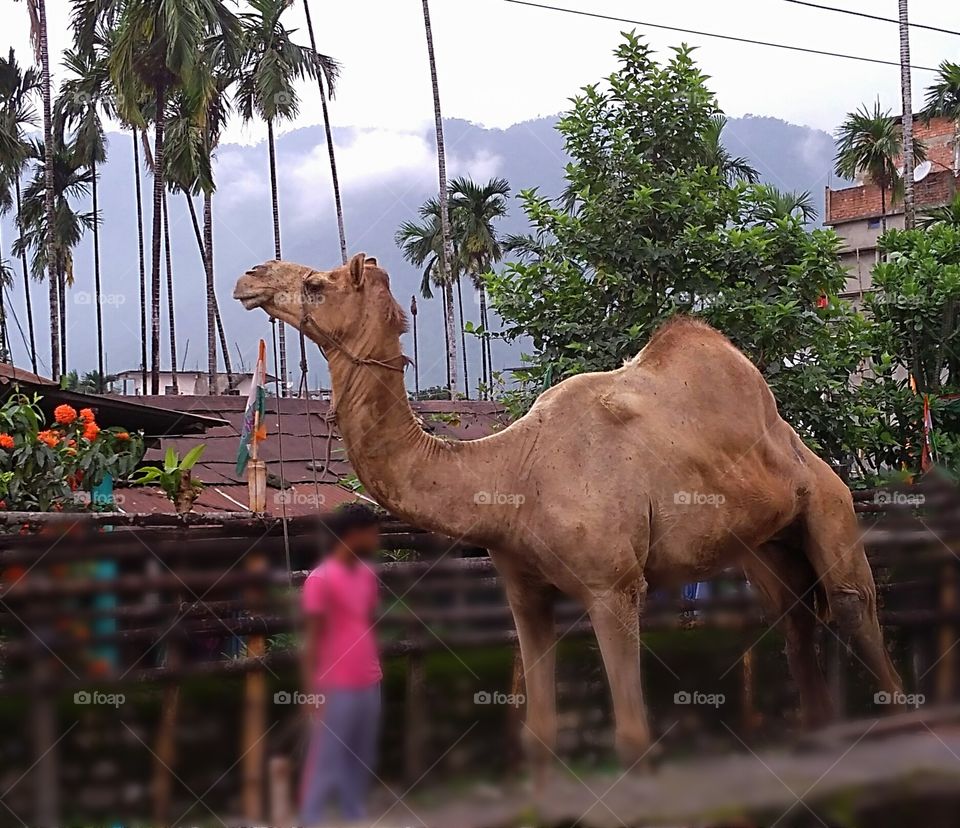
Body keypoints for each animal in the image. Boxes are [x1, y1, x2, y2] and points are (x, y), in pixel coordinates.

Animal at [234, 252, 903, 777]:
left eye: (317, 285)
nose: (250, 276)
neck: (510, 476)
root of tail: (793, 439)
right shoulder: (525, 591)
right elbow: (539, 739)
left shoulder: (614, 586)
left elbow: (633, 740)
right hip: (762, 543)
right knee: (793, 616)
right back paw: (815, 734)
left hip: (828, 502)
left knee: (852, 604)